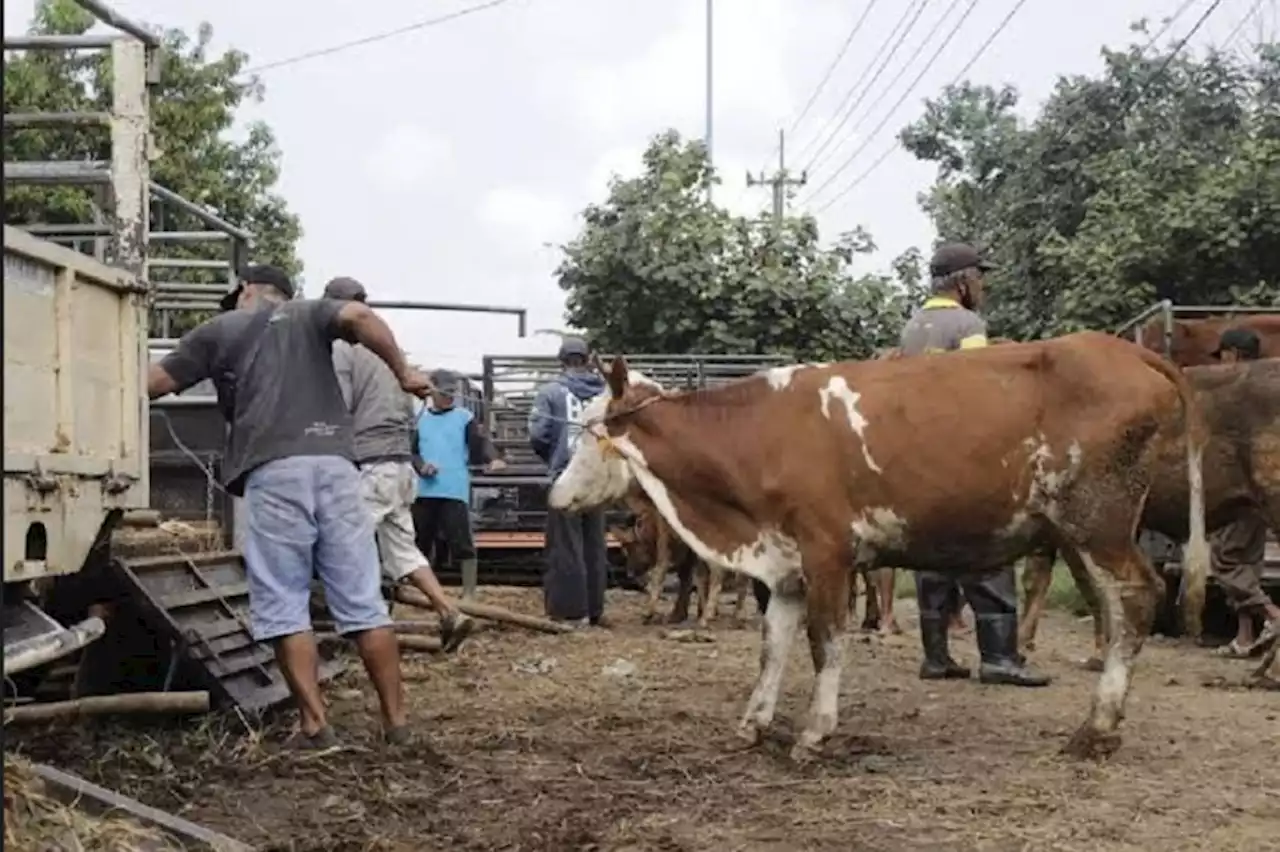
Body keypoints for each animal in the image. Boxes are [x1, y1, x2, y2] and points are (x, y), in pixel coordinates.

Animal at [550, 330, 1208, 757]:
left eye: (591, 433)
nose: (555, 494)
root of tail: (1123, 347)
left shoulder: (828, 552)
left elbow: (826, 643)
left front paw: (815, 732)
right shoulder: (785, 564)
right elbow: (772, 646)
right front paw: (755, 722)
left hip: (1098, 522)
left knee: (1135, 597)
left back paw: (1098, 728)